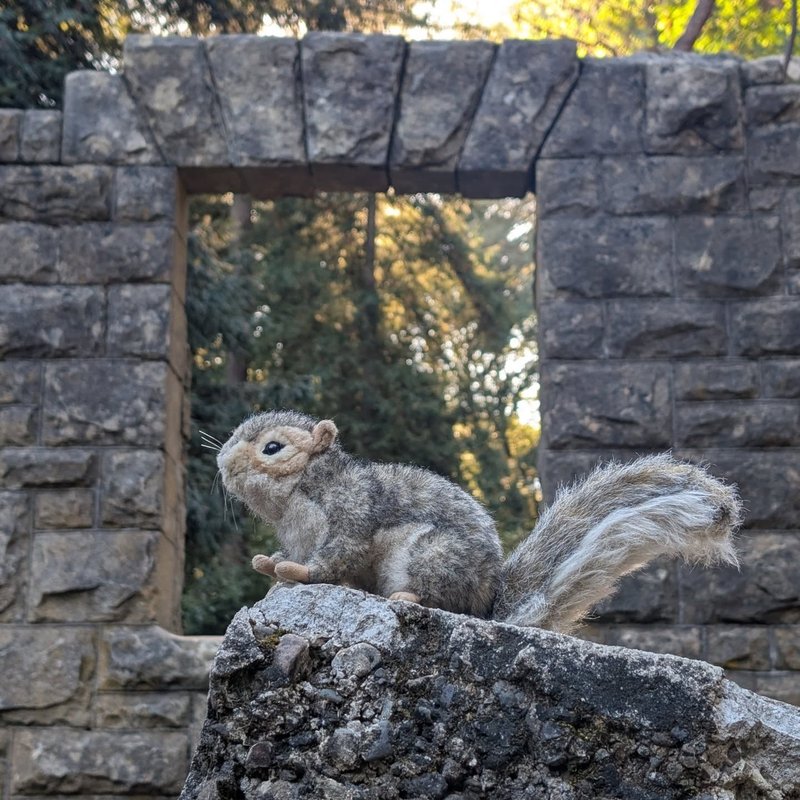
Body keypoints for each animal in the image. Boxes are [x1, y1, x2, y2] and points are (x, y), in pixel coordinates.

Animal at [214, 409, 742, 633]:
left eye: (273, 447)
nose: (223, 463)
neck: (299, 499)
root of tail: (488, 605)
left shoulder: (353, 512)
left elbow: (336, 556)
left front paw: (299, 573)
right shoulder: (299, 535)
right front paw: (271, 565)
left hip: (434, 555)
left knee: (446, 602)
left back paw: (408, 597)